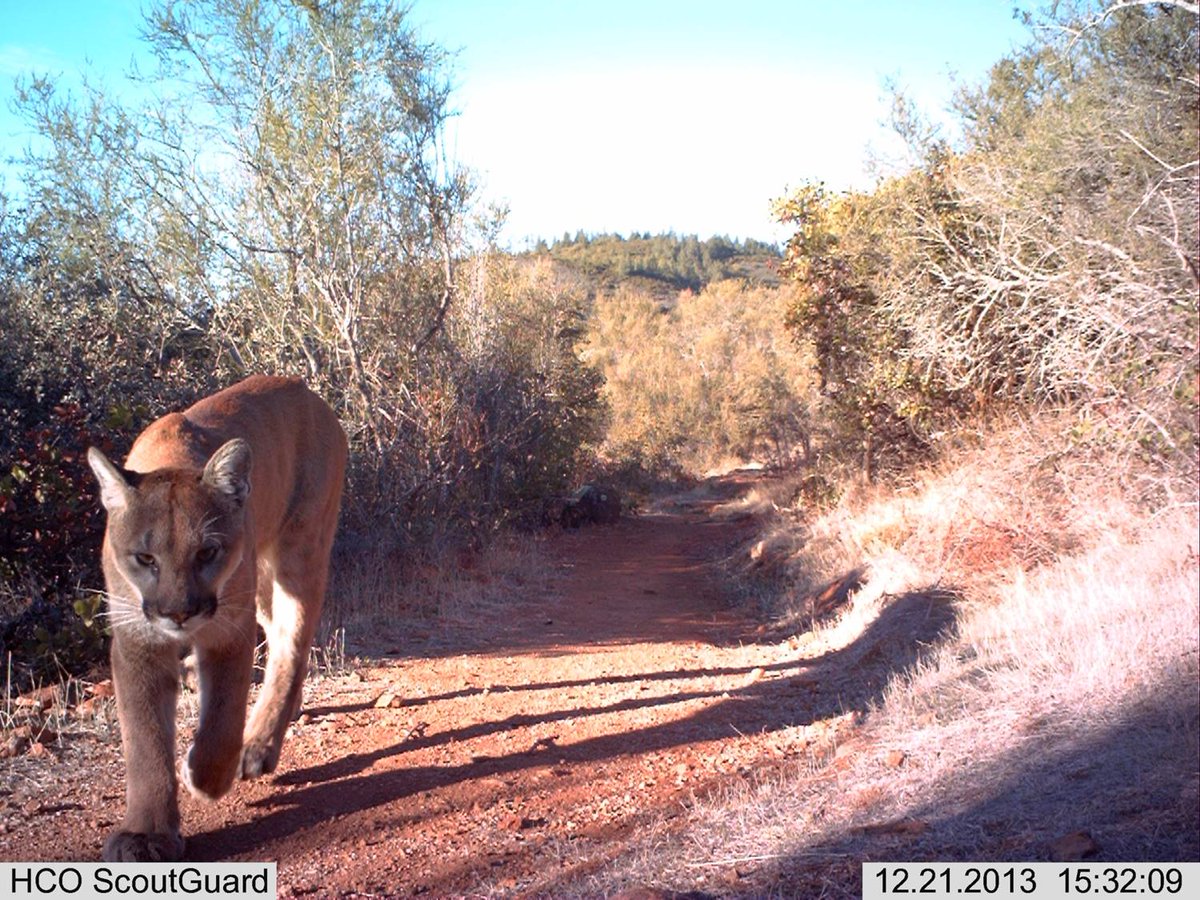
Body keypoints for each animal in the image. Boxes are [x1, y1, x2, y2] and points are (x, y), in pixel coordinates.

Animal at [86, 375, 347, 862]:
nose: (179, 613)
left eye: (207, 552)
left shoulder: (227, 630)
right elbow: (144, 739)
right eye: (145, 558)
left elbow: (222, 718)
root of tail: (303, 387)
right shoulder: (138, 640)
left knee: (290, 645)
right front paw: (145, 834)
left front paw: (205, 777)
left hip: (298, 552)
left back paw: (258, 745)